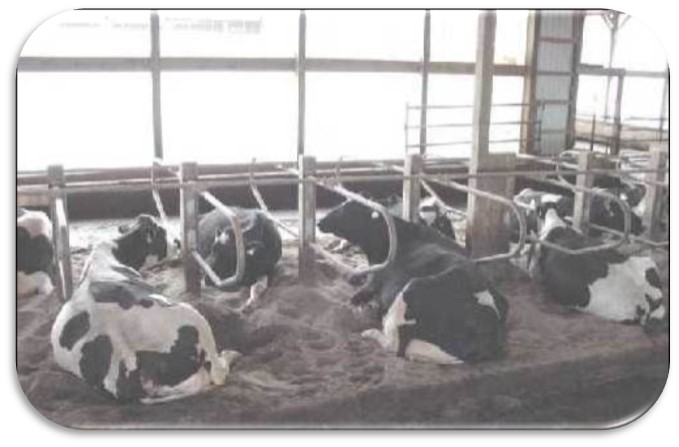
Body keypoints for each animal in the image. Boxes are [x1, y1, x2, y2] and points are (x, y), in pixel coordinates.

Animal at [318, 201, 504, 366]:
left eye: (345, 210)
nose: (320, 222)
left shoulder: (374, 282)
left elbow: (353, 298)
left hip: (412, 287)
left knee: (395, 346)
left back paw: (371, 331)